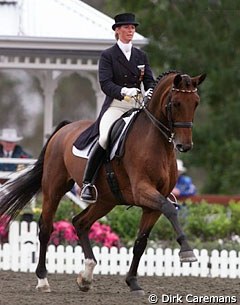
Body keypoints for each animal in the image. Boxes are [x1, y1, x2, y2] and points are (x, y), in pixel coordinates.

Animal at [0, 70, 206, 294]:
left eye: (196, 103)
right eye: (176, 103)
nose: (185, 145)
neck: (156, 143)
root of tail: (63, 129)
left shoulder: (153, 204)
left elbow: (141, 242)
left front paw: (133, 282)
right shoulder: (143, 190)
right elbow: (170, 209)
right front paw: (187, 251)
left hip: (106, 200)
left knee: (80, 223)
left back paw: (86, 276)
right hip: (54, 188)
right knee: (46, 228)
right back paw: (43, 280)